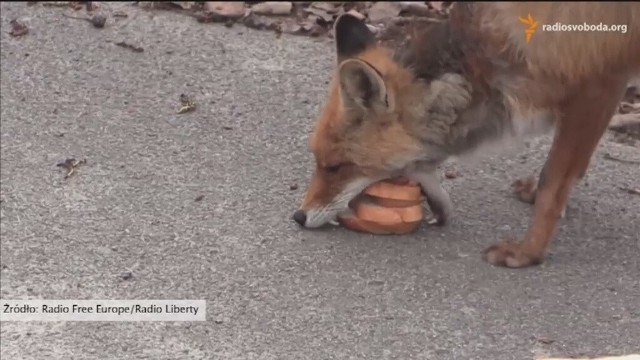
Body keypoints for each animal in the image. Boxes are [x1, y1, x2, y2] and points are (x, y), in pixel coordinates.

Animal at [294, 2, 640, 268]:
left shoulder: (598, 85)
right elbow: (568, 171)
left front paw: (528, 253)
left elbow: (553, 184)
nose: (299, 216)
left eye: (335, 167)